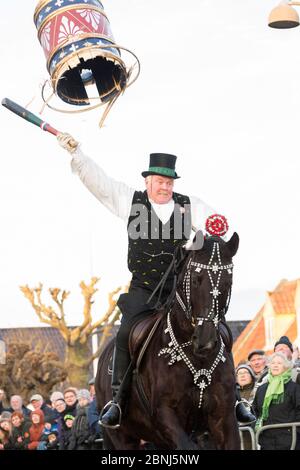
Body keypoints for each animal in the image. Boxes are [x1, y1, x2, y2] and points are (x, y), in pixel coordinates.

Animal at [96, 233, 241, 450]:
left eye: (228, 281)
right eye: (196, 279)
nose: (205, 341)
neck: (197, 359)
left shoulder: (224, 419)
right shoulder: (165, 416)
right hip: (122, 437)